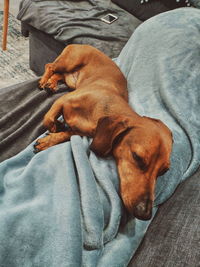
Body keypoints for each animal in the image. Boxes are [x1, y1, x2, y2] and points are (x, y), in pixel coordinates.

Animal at [35, 45, 173, 222]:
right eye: (137, 157)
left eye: (163, 172)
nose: (145, 214)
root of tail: (85, 45)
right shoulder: (62, 101)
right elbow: (48, 119)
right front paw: (54, 128)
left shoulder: (78, 130)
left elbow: (65, 134)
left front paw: (50, 139)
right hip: (68, 62)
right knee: (50, 66)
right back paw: (44, 80)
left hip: (71, 79)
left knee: (59, 75)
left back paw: (51, 84)